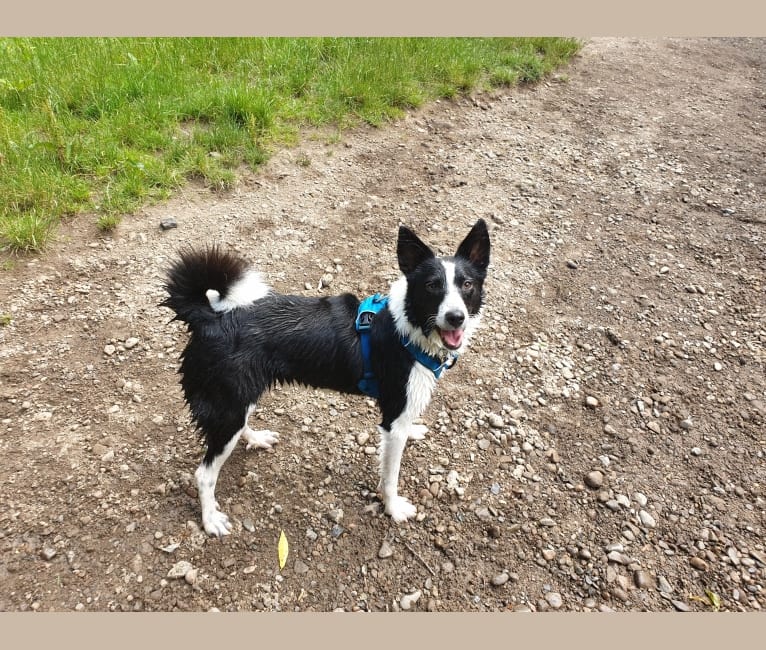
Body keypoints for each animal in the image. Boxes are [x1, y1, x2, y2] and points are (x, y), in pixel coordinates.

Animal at [162, 220, 492, 536]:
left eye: (467, 285)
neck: (412, 327)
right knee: (204, 474)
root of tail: (209, 317)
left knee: (239, 425)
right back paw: (210, 521)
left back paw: (256, 438)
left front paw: (414, 432)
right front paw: (393, 508)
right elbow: (390, 476)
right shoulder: (394, 417)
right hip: (228, 400)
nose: (456, 317)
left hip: (240, 396)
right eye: (432, 286)